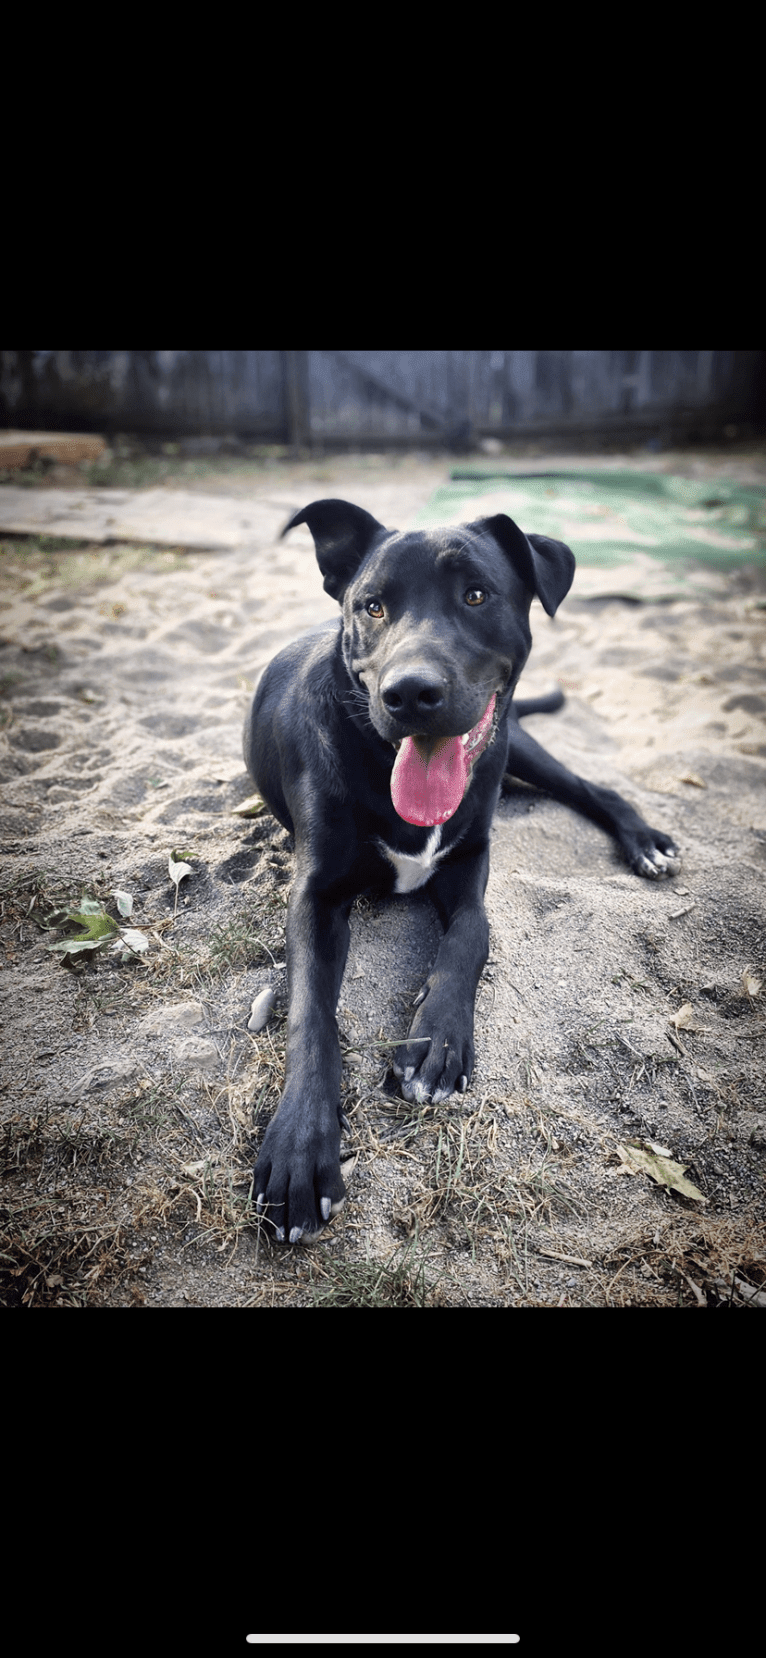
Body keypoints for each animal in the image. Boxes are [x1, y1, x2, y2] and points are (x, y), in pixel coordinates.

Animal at [242, 497, 679, 1240]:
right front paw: (300, 1147)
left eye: (476, 595)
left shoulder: (470, 868)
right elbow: (309, 1013)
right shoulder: (315, 896)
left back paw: (642, 837)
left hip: (516, 747)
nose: (410, 693)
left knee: (588, 787)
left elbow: (472, 936)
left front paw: (437, 1042)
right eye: (373, 607)